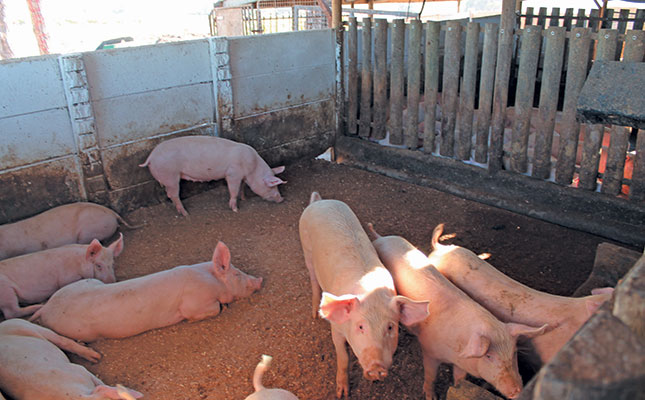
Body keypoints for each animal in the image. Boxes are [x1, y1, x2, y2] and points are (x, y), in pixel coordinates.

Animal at [30, 241, 262, 342]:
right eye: (237, 274)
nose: (259, 280)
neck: (211, 280)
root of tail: (47, 307)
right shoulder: (196, 304)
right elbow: (211, 310)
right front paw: (225, 306)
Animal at [139, 136, 286, 215]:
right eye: (272, 186)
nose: (281, 199)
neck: (253, 167)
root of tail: (150, 157)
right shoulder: (232, 174)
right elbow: (233, 189)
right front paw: (235, 209)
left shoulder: (242, 176)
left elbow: (241, 188)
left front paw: (244, 198)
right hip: (171, 176)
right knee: (173, 194)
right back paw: (186, 214)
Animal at [299, 192, 430, 398]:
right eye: (361, 326)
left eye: (390, 327)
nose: (376, 368)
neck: (372, 294)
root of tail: (320, 202)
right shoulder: (336, 327)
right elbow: (343, 357)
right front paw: (342, 393)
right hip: (306, 248)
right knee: (312, 278)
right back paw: (314, 314)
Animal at [367, 224, 547, 399]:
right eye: (489, 356)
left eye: (514, 353)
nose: (517, 391)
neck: (456, 349)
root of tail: (381, 238)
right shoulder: (429, 350)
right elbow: (431, 375)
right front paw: (431, 397)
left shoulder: (461, 363)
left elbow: (459, 378)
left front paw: (456, 388)